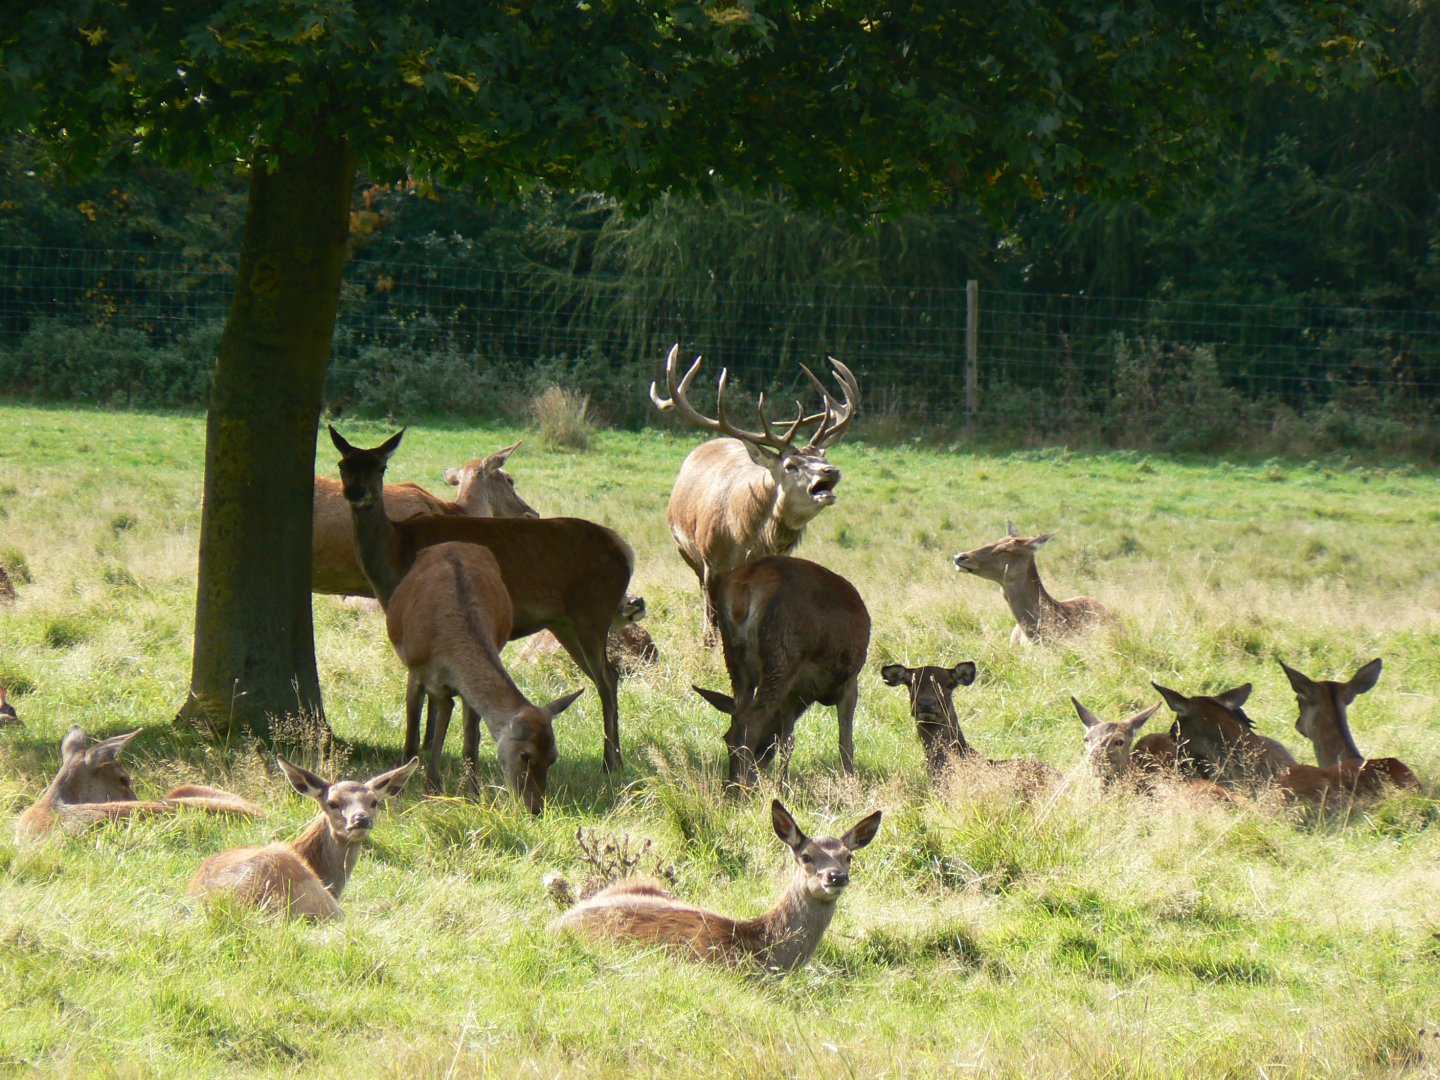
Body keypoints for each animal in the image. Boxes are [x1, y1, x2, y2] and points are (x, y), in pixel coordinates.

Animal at [387, 541, 583, 808]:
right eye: (526, 755)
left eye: (553, 757)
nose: (535, 808)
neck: (442, 647)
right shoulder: (415, 671)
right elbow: (410, 738)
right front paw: (397, 795)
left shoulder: (466, 692)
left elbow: (471, 745)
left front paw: (474, 798)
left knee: (445, 707)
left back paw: (434, 785)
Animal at [650, 343, 858, 643]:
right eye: (790, 465)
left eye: (824, 456)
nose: (831, 471)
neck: (743, 536)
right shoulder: (711, 561)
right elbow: (713, 621)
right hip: (686, 550)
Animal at [690, 555, 870, 788]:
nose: (758, 768)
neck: (809, 698)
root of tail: (743, 590)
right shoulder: (849, 681)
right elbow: (845, 743)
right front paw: (850, 783)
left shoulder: (792, 695)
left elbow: (787, 741)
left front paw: (783, 786)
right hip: (781, 656)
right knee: (750, 722)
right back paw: (743, 789)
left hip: (735, 659)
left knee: (739, 718)